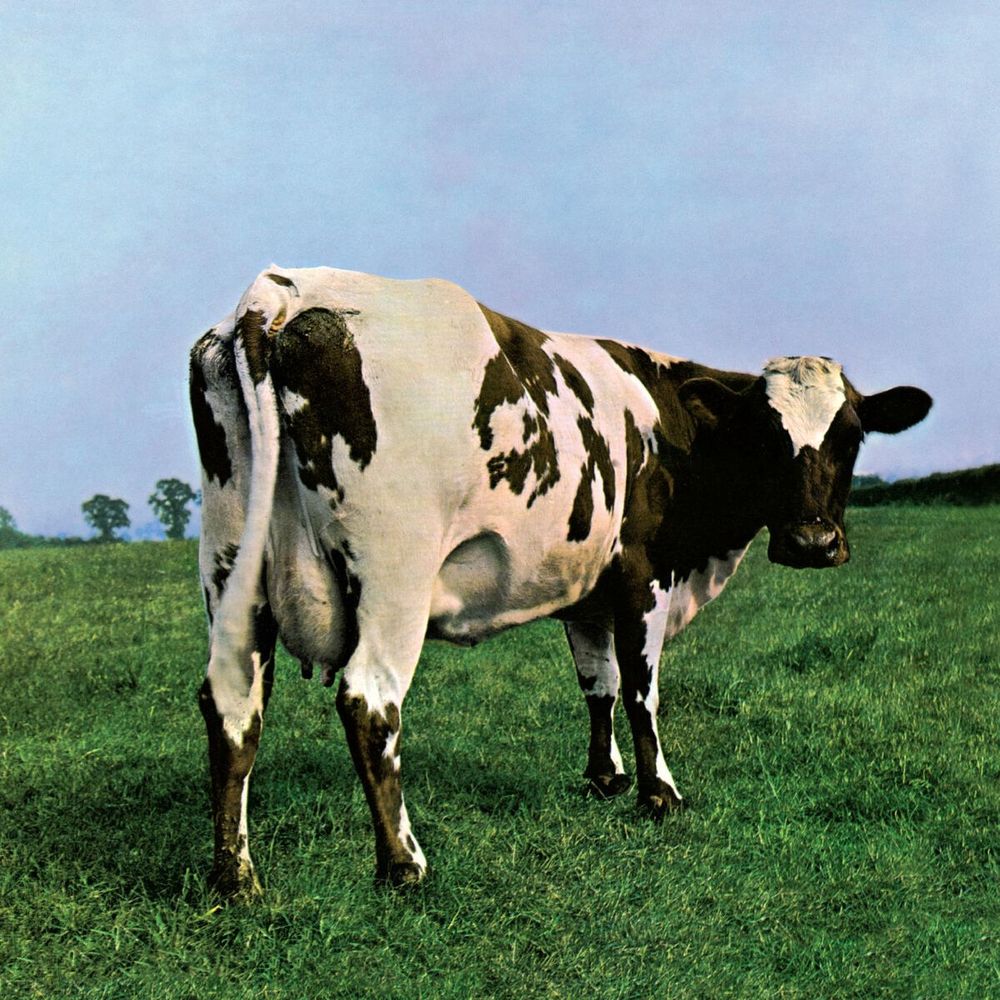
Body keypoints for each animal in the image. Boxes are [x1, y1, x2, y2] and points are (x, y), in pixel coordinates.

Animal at [190, 265, 931, 897]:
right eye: (765, 436)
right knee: (369, 702)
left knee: (232, 702)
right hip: (393, 575)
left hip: (230, 563)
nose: (812, 544)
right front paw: (659, 793)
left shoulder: (587, 588)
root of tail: (283, 292)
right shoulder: (643, 576)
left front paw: (606, 777)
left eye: (852, 435)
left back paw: (235, 875)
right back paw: (403, 864)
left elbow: (597, 683)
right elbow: (641, 690)